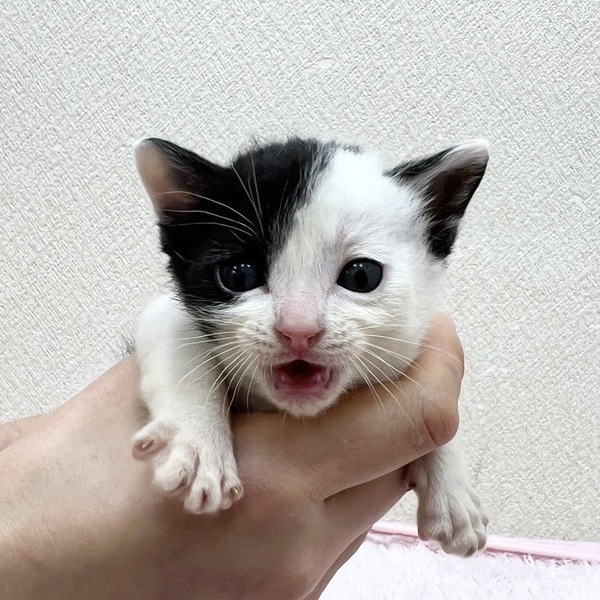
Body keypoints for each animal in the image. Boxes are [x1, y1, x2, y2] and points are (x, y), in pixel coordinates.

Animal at [132, 135, 489, 556]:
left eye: (362, 275)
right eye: (238, 275)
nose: (298, 329)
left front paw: (454, 493)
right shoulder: (161, 312)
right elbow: (174, 334)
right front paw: (198, 446)